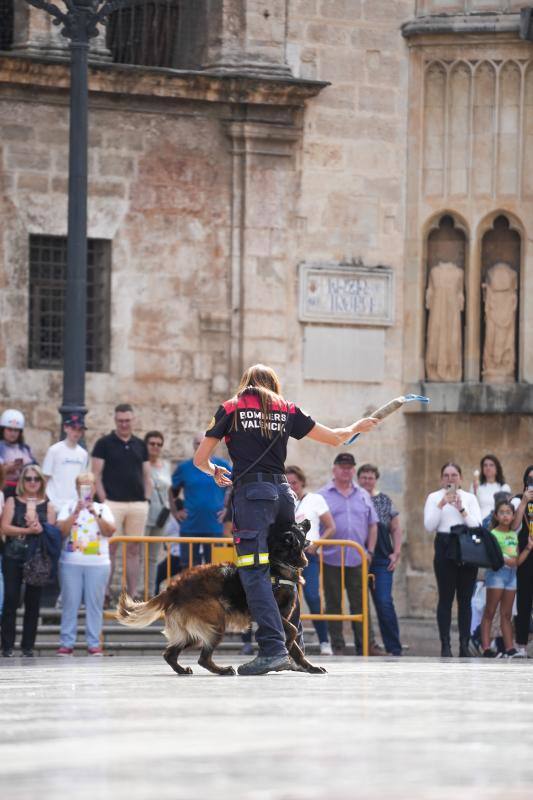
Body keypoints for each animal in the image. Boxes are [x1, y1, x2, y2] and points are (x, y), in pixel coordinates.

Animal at [116, 520, 324, 676]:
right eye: (298, 526)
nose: (307, 520)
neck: (279, 562)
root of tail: (174, 588)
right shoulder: (268, 611)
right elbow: (291, 631)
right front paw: (286, 648)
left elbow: (297, 649)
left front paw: (309, 667)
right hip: (216, 623)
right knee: (203, 658)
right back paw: (223, 670)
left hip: (193, 632)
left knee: (170, 654)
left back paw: (183, 670)